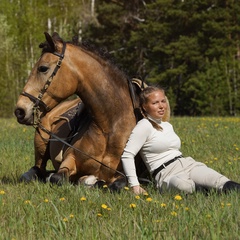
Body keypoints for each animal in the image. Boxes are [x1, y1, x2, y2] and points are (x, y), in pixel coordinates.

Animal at [14, 31, 170, 190]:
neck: (109, 128)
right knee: (38, 169)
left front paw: (91, 181)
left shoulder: (125, 173)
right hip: (40, 144)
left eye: (43, 68)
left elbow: (116, 184)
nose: (20, 110)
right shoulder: (69, 160)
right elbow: (58, 177)